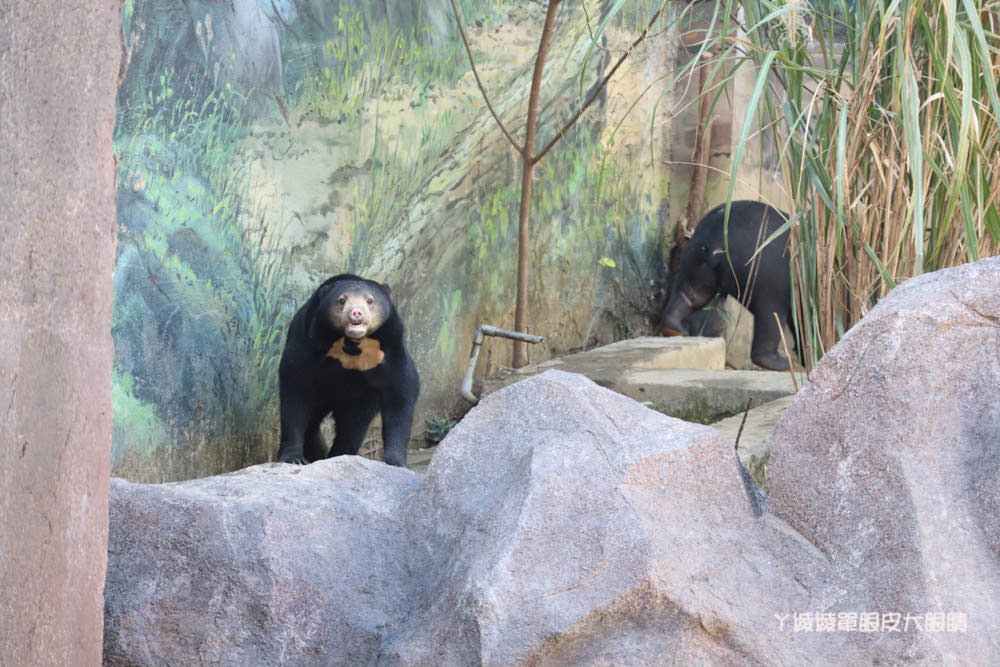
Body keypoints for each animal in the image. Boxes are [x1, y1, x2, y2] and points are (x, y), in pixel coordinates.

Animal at [274, 274, 418, 468]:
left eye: (370, 300)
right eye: (342, 300)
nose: (356, 313)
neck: (353, 344)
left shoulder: (390, 349)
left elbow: (401, 394)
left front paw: (395, 461)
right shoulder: (308, 343)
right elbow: (295, 392)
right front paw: (294, 458)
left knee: (353, 424)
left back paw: (341, 454)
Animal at [660, 201, 792, 374]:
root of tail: (718, 239)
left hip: (696, 259)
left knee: (689, 295)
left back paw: (676, 329)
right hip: (767, 269)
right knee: (771, 313)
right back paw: (781, 362)